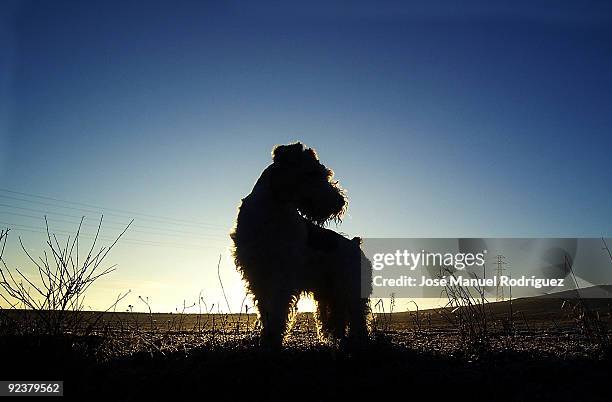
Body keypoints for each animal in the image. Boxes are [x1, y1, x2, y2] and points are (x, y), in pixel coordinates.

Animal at [231, 142, 370, 348]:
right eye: (313, 173)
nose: (341, 202)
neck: (272, 211)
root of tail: (354, 243)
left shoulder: (283, 275)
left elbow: (278, 310)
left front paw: (273, 338)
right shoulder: (257, 274)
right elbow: (265, 310)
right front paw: (266, 337)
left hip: (351, 289)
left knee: (359, 318)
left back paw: (358, 340)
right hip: (328, 293)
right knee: (338, 317)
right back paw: (338, 339)